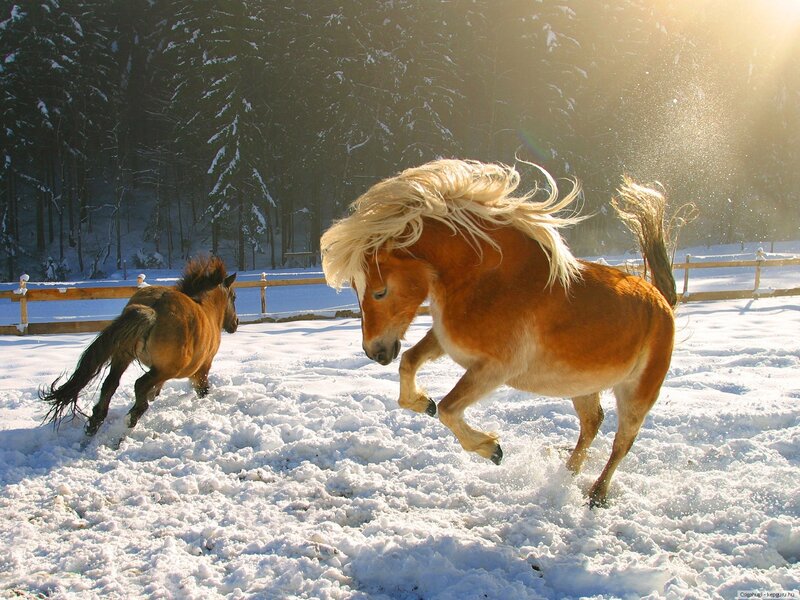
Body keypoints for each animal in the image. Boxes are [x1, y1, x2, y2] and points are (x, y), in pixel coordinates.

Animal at [40, 255, 239, 436]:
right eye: (234, 297)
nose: (235, 323)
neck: (207, 310)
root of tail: (153, 309)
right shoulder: (202, 368)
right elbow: (202, 389)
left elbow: (155, 390)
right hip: (166, 369)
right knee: (139, 385)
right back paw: (128, 423)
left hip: (123, 356)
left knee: (110, 384)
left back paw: (94, 425)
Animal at [321, 159, 676, 506]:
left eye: (379, 291)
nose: (374, 352)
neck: (490, 280)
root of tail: (661, 301)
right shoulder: (446, 340)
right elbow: (409, 363)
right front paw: (424, 403)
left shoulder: (495, 368)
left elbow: (449, 409)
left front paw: (492, 449)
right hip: (583, 385)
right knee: (592, 423)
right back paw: (567, 473)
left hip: (636, 393)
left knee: (622, 442)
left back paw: (597, 494)